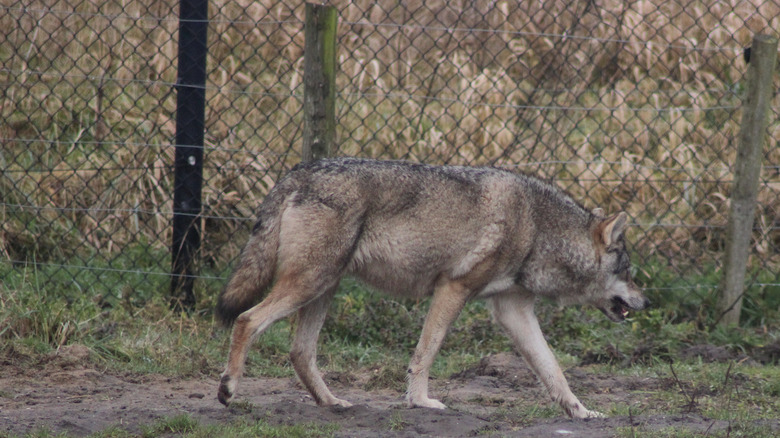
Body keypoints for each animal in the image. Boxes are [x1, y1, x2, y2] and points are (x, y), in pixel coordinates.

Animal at [216, 157, 648, 418]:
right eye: (628, 271)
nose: (646, 301)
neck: (538, 228)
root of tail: (300, 170)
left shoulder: (514, 310)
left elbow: (554, 370)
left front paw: (582, 413)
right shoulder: (452, 290)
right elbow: (426, 352)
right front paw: (421, 401)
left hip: (323, 289)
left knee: (300, 351)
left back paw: (332, 402)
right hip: (309, 284)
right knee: (246, 319)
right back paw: (228, 389)